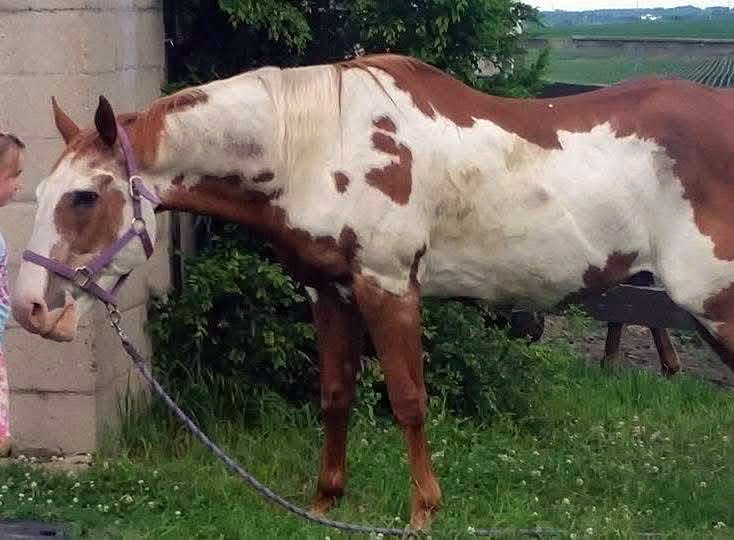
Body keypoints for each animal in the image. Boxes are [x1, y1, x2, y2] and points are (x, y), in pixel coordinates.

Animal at [11, 54, 734, 530]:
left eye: (83, 197)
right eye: (41, 191)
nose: (29, 309)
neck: (315, 147)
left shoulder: (388, 288)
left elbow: (408, 401)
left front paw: (422, 514)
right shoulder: (328, 292)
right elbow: (335, 395)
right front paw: (324, 503)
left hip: (716, 306)